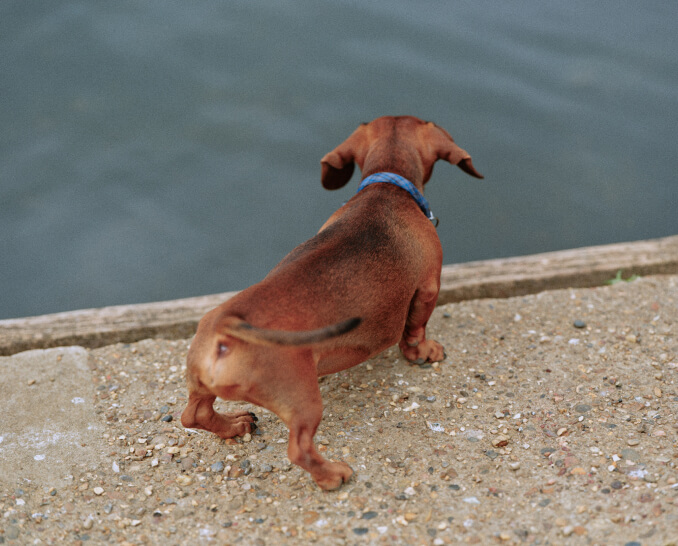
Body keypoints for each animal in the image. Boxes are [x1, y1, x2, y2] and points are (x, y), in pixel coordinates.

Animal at [181, 115, 484, 488]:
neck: (385, 189)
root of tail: (226, 328)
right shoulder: (428, 286)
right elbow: (416, 330)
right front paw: (424, 353)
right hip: (305, 404)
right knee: (298, 450)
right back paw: (333, 475)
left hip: (202, 385)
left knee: (195, 415)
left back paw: (234, 425)